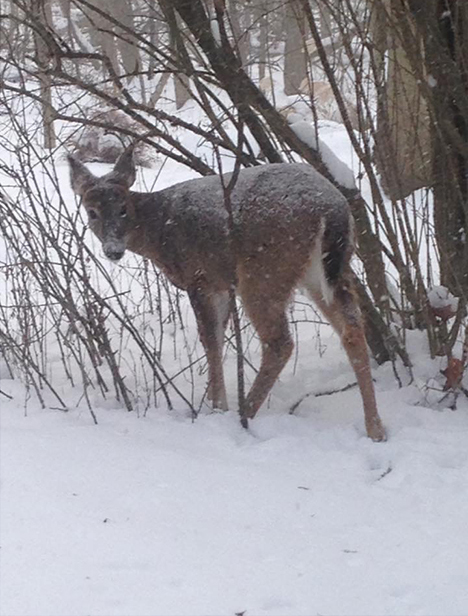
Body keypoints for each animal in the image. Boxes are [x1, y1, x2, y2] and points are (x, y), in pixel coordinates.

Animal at [67, 147, 386, 440]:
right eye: (91, 212)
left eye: (123, 208)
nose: (113, 250)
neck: (159, 232)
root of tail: (331, 208)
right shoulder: (219, 283)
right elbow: (218, 339)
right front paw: (213, 402)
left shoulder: (200, 277)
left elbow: (211, 341)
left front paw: (216, 408)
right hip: (328, 272)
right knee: (352, 329)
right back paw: (376, 429)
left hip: (263, 271)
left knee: (280, 342)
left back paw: (245, 414)